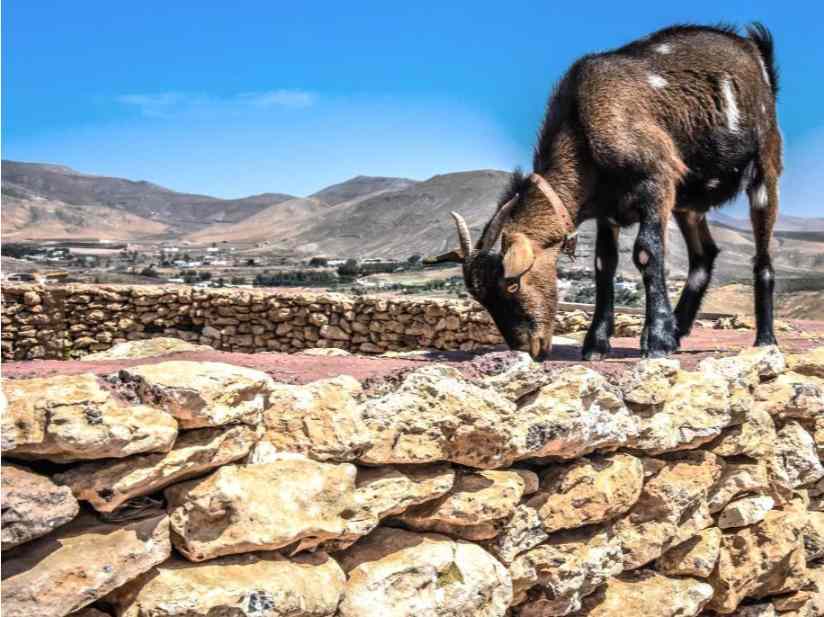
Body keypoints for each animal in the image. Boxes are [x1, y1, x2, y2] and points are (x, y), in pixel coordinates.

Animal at [426, 23, 782, 360]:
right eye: (481, 297)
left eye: (512, 284)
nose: (528, 347)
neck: (582, 125)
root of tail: (753, 47)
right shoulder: (608, 211)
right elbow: (603, 265)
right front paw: (597, 343)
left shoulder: (657, 181)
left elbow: (647, 253)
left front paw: (657, 341)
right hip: (688, 201)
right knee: (704, 255)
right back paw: (678, 328)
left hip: (765, 165)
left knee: (762, 255)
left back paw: (764, 339)